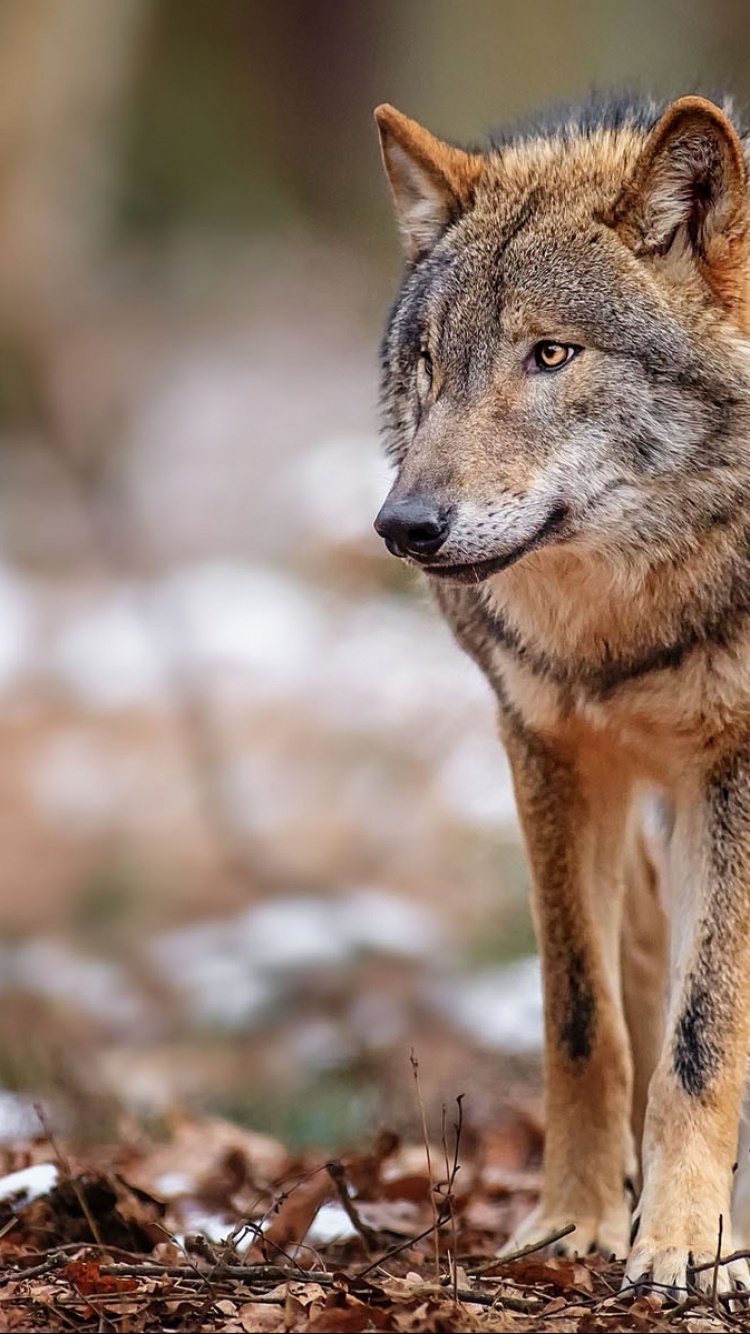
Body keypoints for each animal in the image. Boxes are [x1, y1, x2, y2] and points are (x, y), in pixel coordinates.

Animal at [373, 91, 750, 1299]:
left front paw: (685, 1244)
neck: (621, 628)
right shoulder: (547, 748)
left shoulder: (734, 765)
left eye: (551, 354)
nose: (404, 526)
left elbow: (702, 1036)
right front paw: (575, 1224)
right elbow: (584, 1017)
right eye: (432, 365)